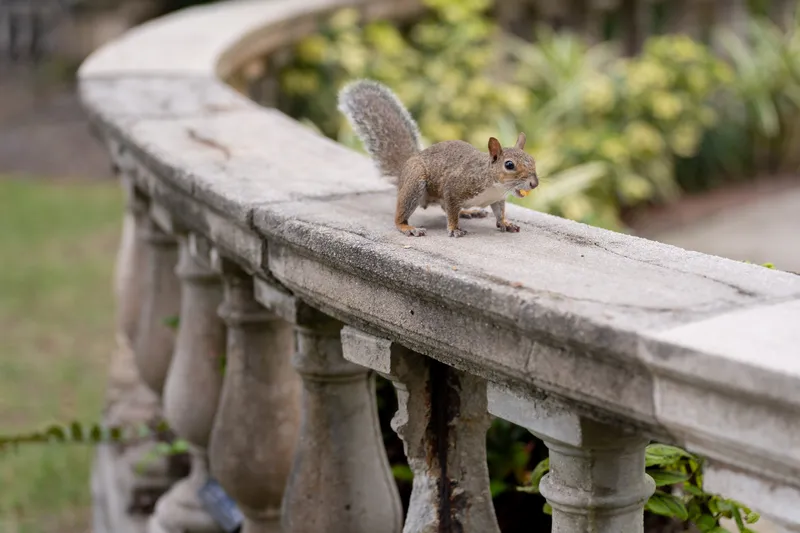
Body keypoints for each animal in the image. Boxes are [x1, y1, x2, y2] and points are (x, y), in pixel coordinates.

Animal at [338, 79, 538, 237]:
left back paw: (468, 211)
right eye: (509, 165)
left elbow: (499, 212)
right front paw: (454, 228)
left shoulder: (497, 199)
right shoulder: (454, 187)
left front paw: (505, 223)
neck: (493, 184)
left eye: (533, 160)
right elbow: (451, 210)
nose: (534, 183)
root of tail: (404, 169)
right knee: (403, 215)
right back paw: (407, 227)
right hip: (414, 183)